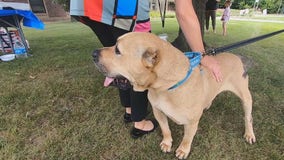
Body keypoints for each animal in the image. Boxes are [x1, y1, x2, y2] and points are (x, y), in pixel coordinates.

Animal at [92, 32, 256, 159]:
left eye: (117, 50)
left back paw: (249, 134)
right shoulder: (158, 111)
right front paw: (167, 143)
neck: (166, 87)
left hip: (246, 98)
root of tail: (238, 58)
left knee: (248, 117)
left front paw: (183, 150)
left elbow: (187, 138)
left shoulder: (191, 123)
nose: (93, 53)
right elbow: (165, 129)